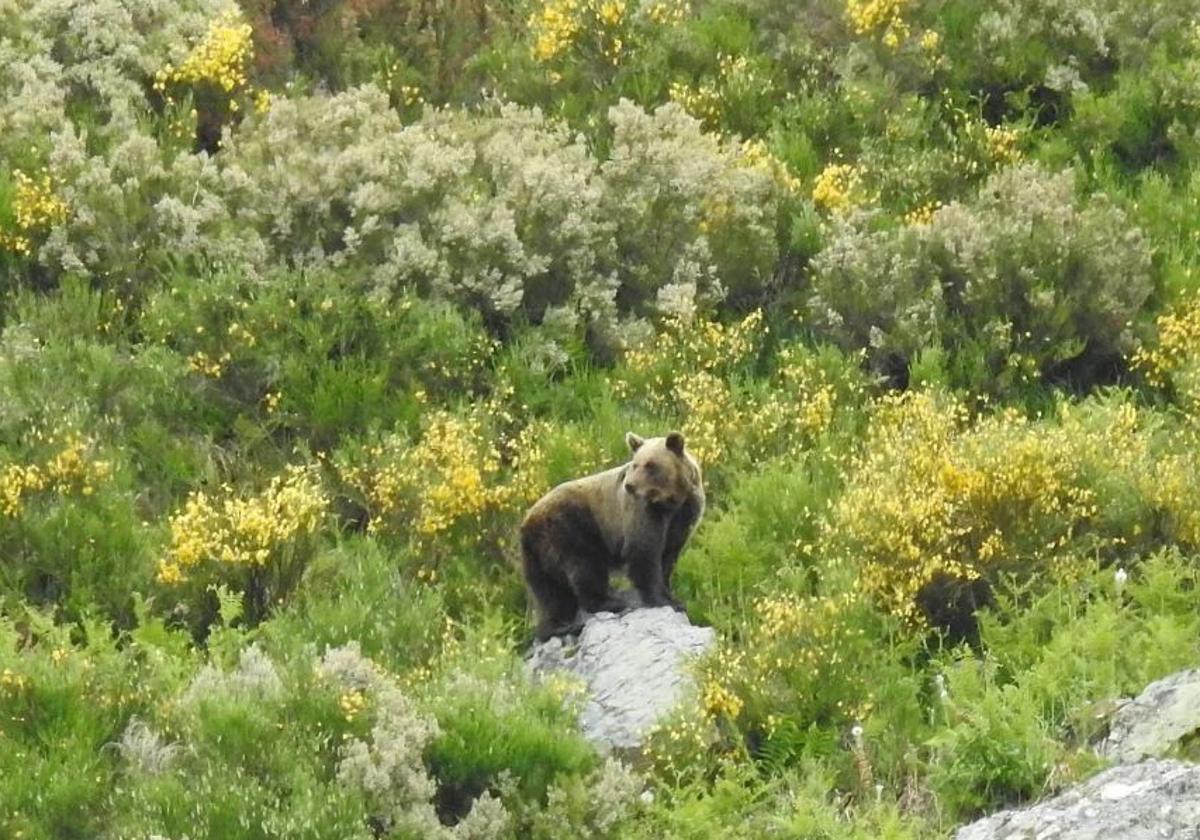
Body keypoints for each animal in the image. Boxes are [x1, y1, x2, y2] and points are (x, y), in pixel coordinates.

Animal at [516, 429, 700, 638]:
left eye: (650, 465)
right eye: (635, 464)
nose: (630, 485)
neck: (671, 501)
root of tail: (528, 522)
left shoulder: (683, 517)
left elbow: (667, 557)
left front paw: (671, 595)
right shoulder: (643, 512)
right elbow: (644, 552)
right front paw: (665, 600)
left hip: (535, 555)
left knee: (550, 592)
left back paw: (559, 626)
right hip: (570, 527)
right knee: (585, 566)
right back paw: (609, 602)